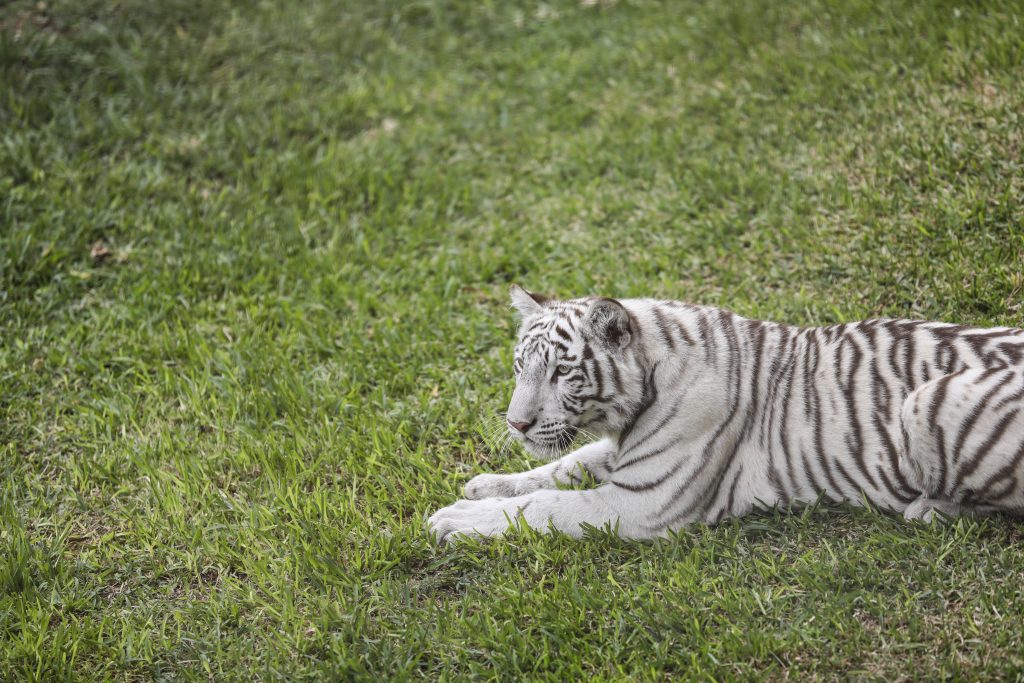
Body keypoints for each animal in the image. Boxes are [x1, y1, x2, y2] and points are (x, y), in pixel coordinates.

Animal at [428, 285, 1024, 542]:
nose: (516, 424)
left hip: (923, 403)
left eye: (560, 373)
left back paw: (927, 510)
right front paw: (486, 484)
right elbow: (562, 466)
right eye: (520, 367)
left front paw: (456, 520)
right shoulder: (621, 458)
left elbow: (546, 506)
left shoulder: (643, 502)